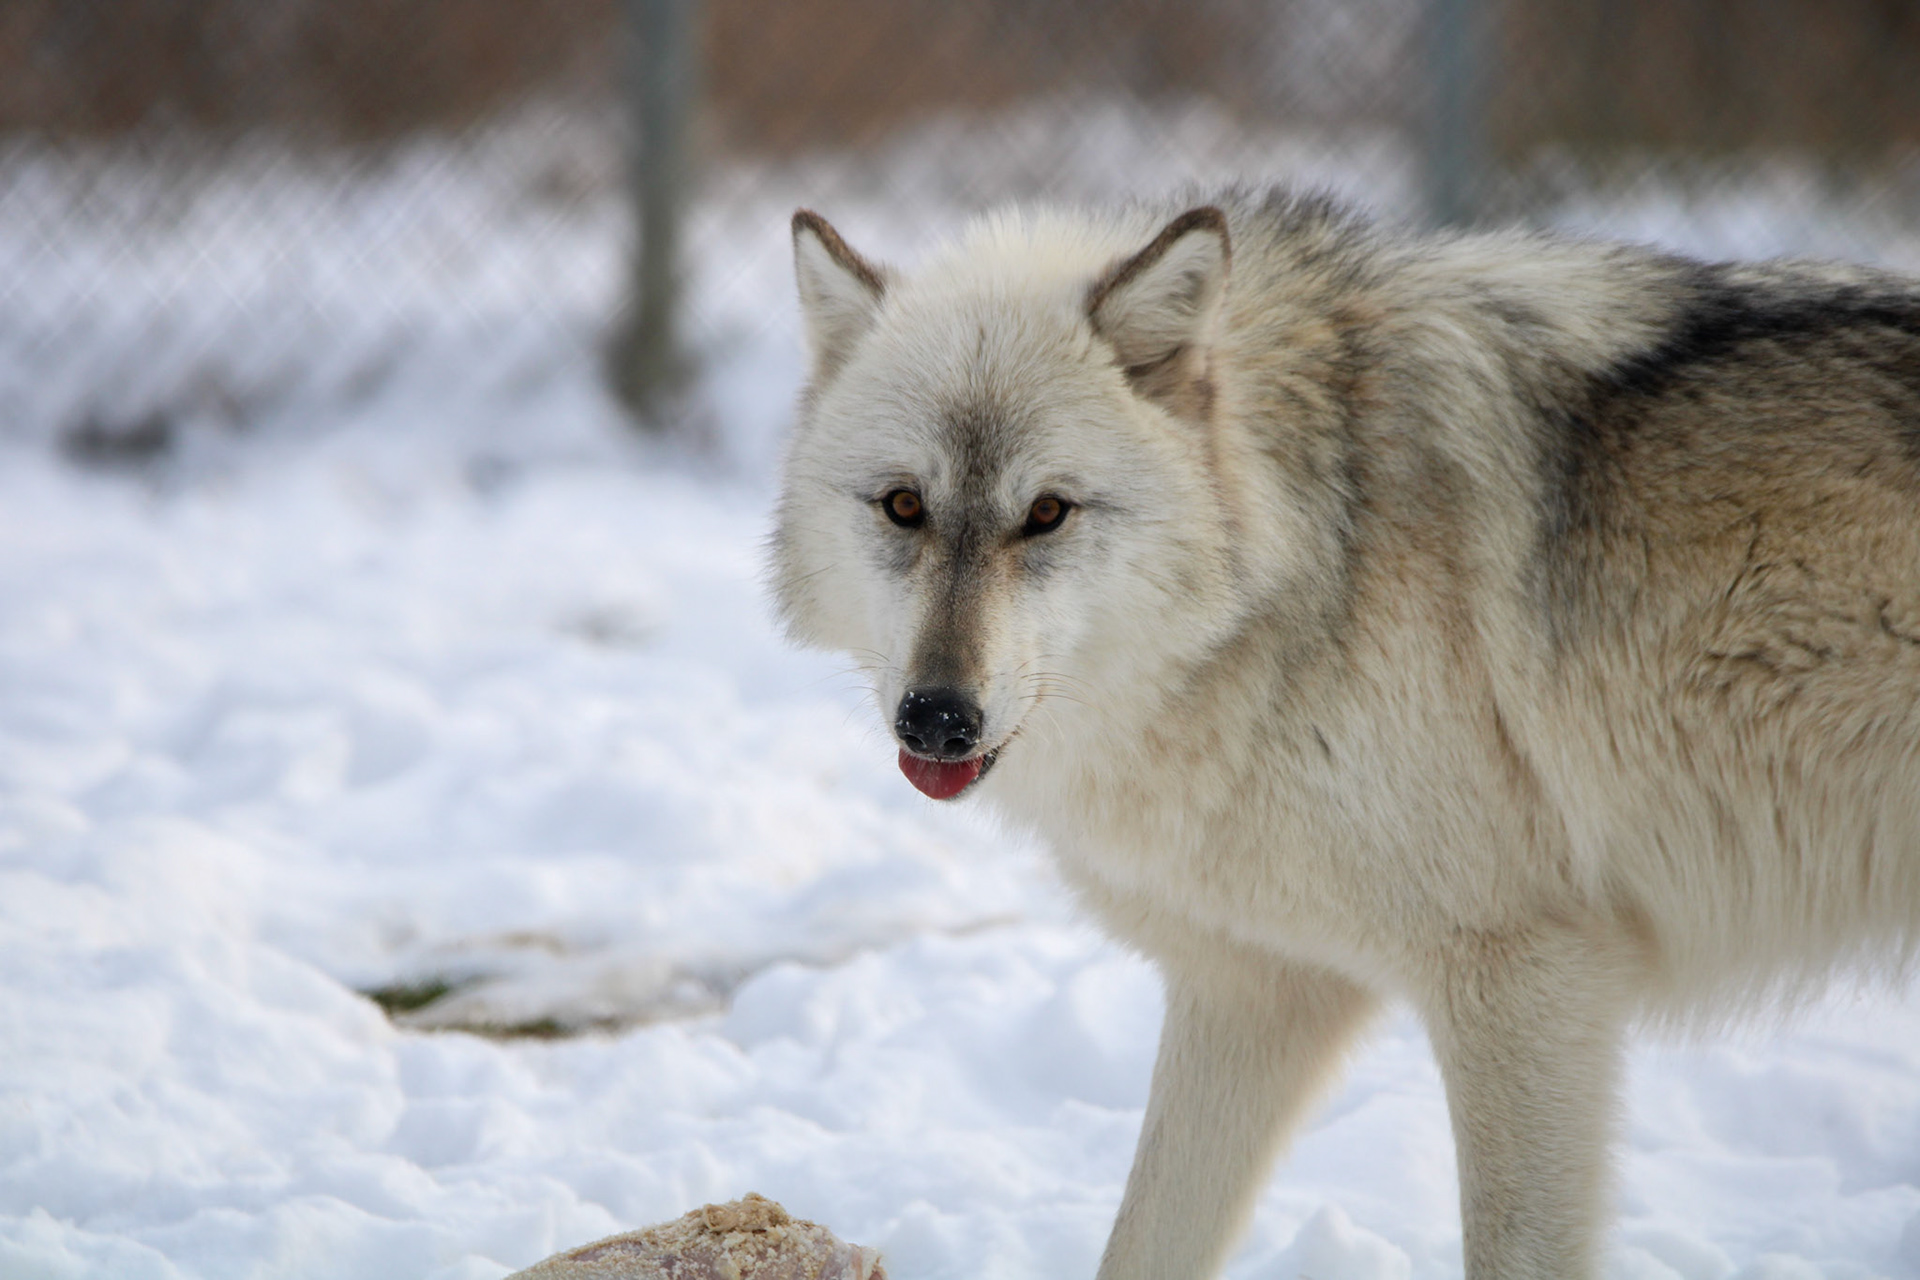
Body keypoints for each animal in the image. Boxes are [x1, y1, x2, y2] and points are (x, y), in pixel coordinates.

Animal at [769, 188, 1920, 1278]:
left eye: (1046, 512)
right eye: (904, 506)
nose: (937, 718)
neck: (1308, 553)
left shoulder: (1528, 979)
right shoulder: (1252, 991)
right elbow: (1141, 1247)